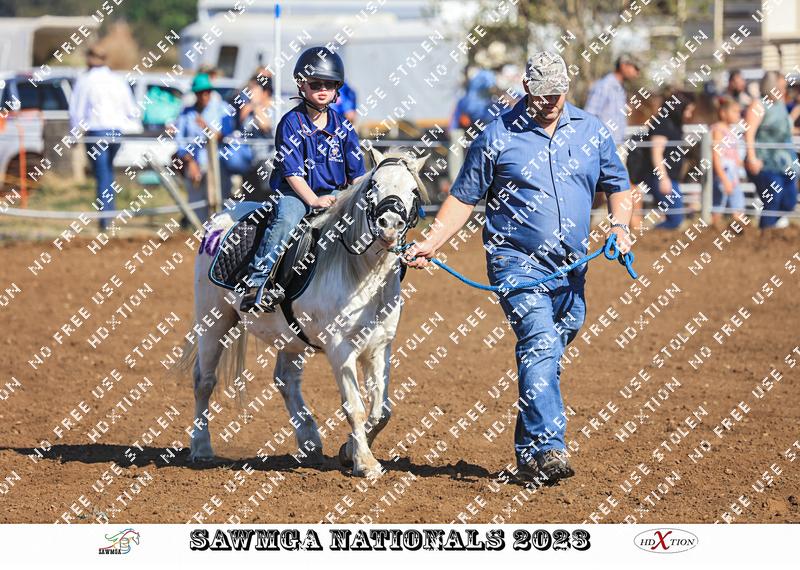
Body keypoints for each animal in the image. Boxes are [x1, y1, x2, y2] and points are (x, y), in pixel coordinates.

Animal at [177, 148, 429, 478]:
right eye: (374, 185)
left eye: (413, 190)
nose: (389, 224)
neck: (360, 271)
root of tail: (220, 220)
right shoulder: (340, 348)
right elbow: (355, 408)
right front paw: (365, 462)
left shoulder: (379, 346)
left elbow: (382, 410)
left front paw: (349, 450)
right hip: (214, 320)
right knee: (204, 381)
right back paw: (202, 447)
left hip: (290, 338)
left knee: (285, 380)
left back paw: (309, 443)